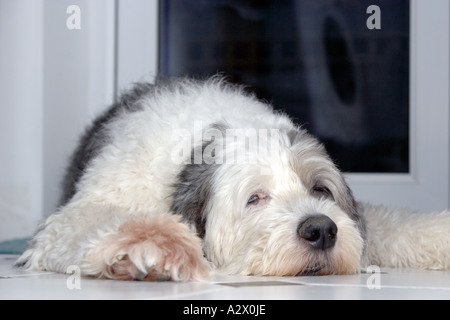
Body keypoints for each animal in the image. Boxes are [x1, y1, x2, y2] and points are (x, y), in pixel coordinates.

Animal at [14, 77, 450, 280]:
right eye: (255, 198)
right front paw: (155, 248)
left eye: (319, 188)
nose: (322, 230)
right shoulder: (88, 207)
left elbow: (393, 225)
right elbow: (96, 220)